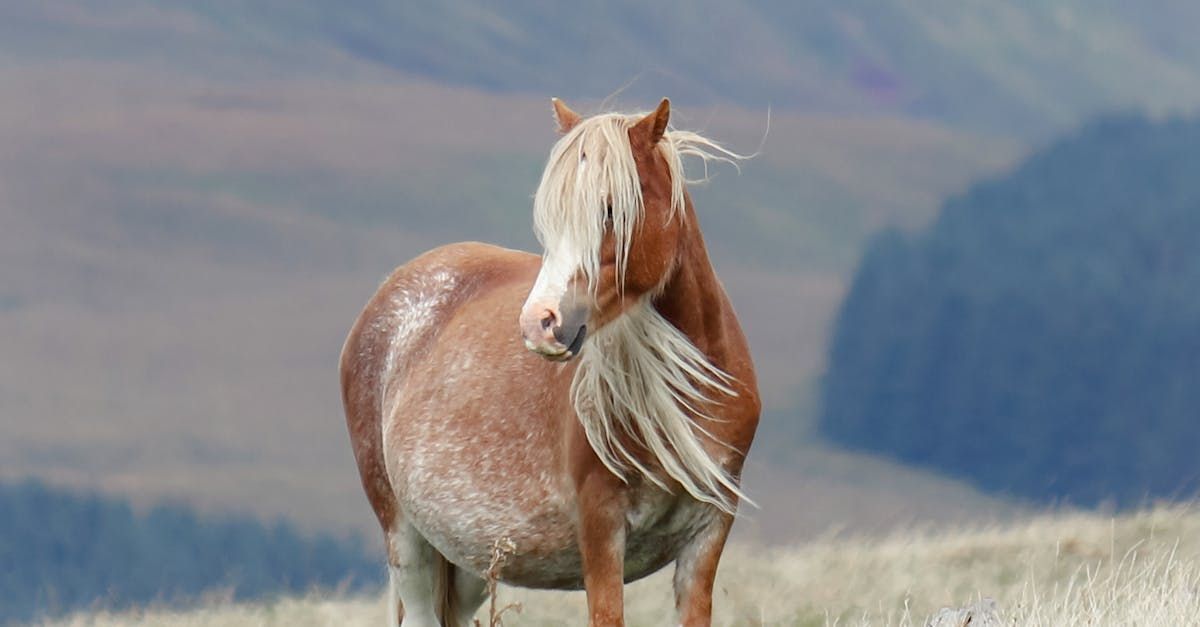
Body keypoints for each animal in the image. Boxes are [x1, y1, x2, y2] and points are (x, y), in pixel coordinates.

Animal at [340, 97, 761, 626]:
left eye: (610, 210)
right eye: (551, 220)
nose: (540, 323)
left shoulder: (707, 534)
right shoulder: (601, 531)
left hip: (468, 559)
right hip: (406, 538)